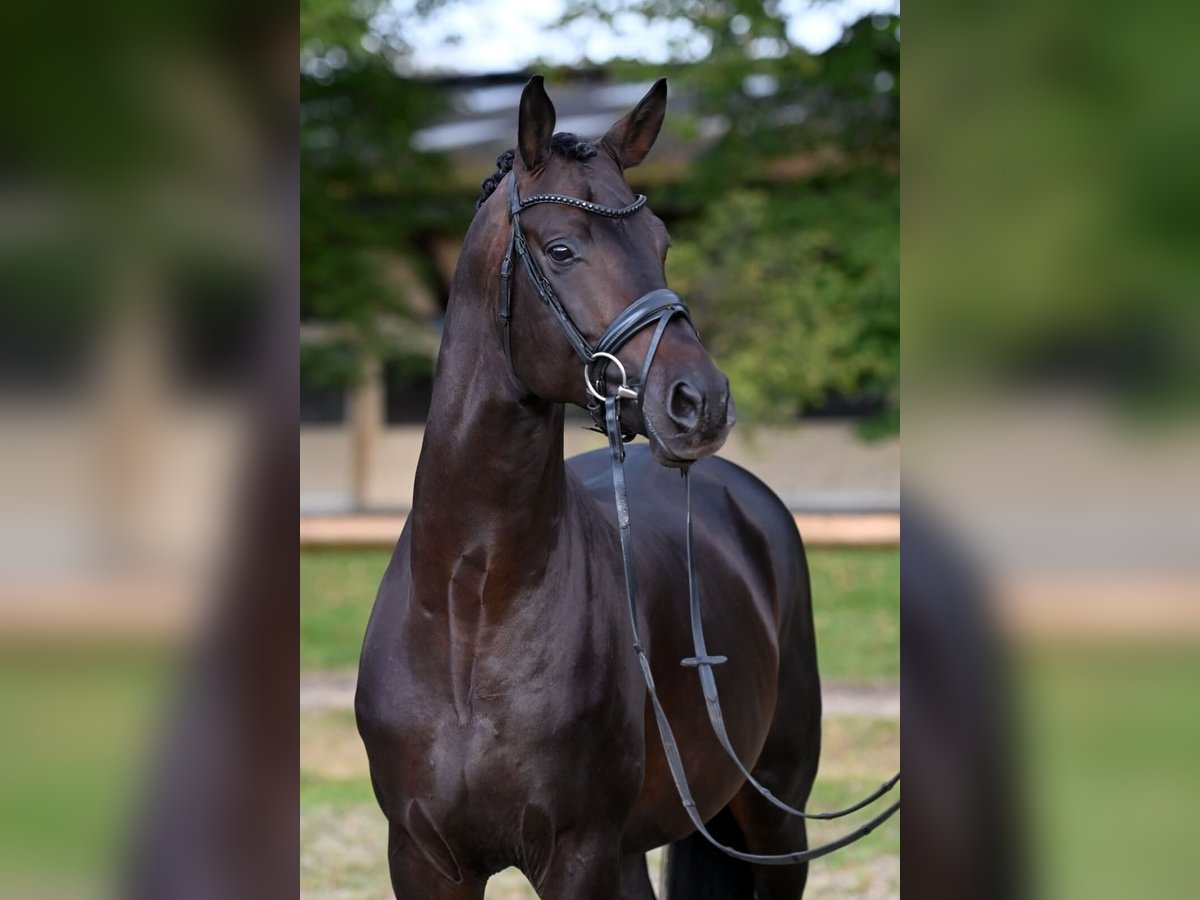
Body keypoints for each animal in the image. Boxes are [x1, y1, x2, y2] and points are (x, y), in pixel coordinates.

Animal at [355, 74, 825, 897]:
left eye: (662, 243)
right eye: (563, 249)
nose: (700, 401)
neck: (471, 605)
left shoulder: (577, 855)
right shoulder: (421, 858)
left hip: (774, 817)